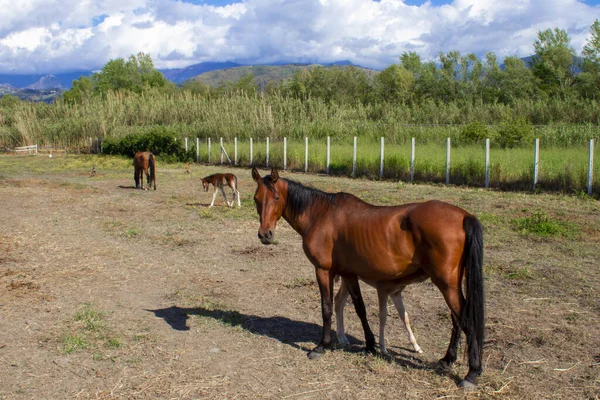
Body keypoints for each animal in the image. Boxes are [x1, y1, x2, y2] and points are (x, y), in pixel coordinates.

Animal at [251, 167, 486, 390]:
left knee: (465, 319)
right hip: (450, 284)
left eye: (276, 198)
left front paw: (322, 346)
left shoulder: (323, 270)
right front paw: (371, 344)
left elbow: (326, 307)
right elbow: (359, 308)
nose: (265, 235)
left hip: (446, 284)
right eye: (256, 198)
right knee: (456, 319)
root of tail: (463, 216)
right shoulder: (349, 273)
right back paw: (448, 359)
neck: (321, 215)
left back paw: (472, 373)